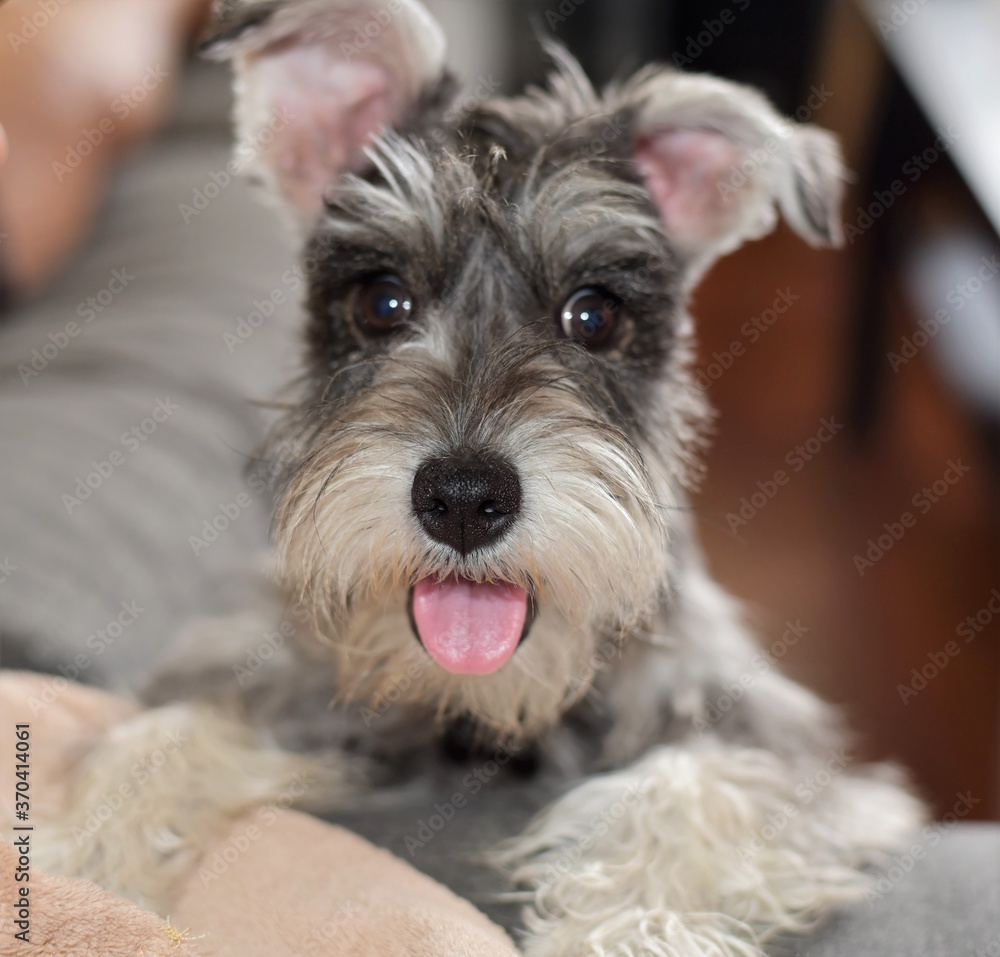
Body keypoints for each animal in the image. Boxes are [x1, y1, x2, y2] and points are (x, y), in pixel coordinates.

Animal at [43, 1, 924, 956]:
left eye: (595, 313)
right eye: (381, 297)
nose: (464, 498)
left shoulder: (766, 731)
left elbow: (692, 791)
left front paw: (621, 929)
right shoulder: (270, 663)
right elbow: (163, 735)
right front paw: (76, 867)